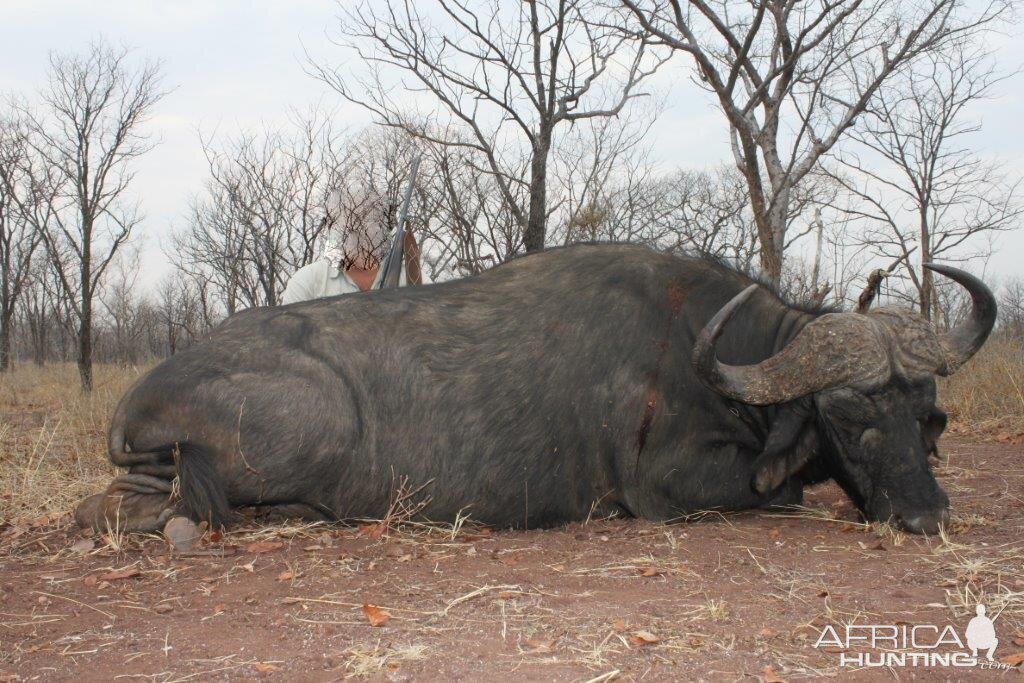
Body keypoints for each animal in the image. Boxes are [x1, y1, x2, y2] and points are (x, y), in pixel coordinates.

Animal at [75, 242, 995, 536]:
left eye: (925, 413)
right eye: (848, 413)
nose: (927, 513)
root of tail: (139, 394)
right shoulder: (666, 488)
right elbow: (787, 491)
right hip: (315, 421)